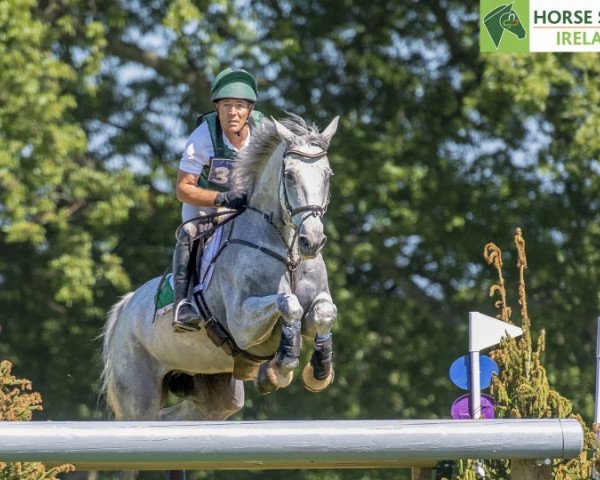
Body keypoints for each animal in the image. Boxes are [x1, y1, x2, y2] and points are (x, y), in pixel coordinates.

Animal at [101, 115, 340, 480]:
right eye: (289, 175)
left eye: (327, 175)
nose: (311, 242)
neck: (286, 250)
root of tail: (125, 307)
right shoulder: (243, 322)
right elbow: (289, 305)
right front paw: (280, 367)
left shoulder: (318, 301)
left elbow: (322, 314)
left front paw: (319, 370)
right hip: (136, 401)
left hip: (214, 394)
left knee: (173, 421)